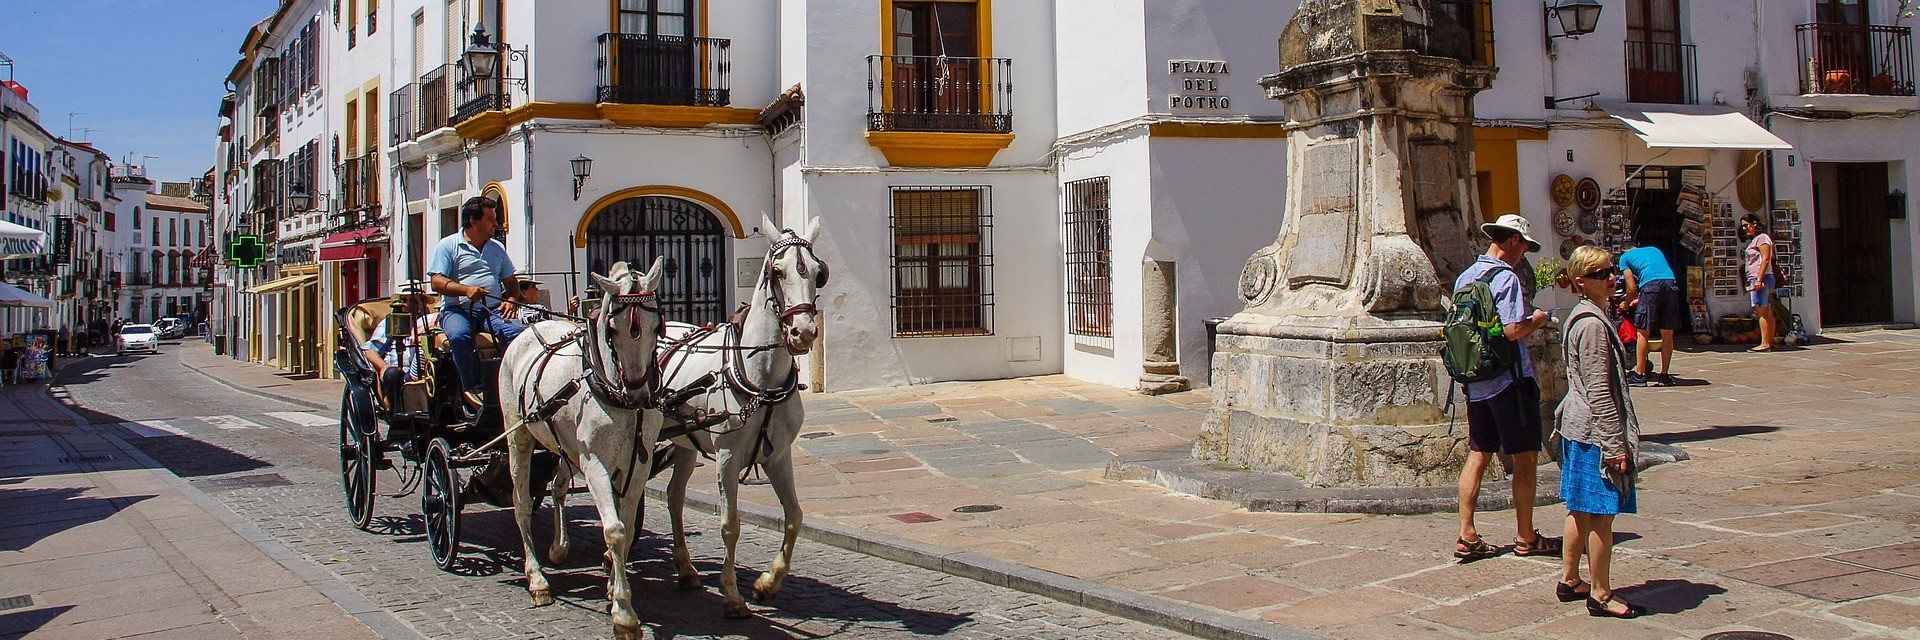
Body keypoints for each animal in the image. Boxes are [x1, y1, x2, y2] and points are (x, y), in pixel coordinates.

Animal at [495, 257, 668, 638]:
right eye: (612, 329)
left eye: (656, 326)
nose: (639, 395)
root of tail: (531, 328)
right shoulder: (595, 463)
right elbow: (615, 530)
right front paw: (624, 613)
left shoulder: (638, 463)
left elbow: (626, 526)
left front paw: (612, 582)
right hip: (519, 436)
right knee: (521, 503)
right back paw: (537, 579)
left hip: (564, 444)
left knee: (558, 486)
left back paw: (559, 548)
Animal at [660, 215, 825, 618]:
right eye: (777, 271)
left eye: (819, 272)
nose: (803, 332)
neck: (761, 379)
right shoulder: (727, 456)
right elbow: (730, 524)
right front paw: (732, 595)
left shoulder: (778, 455)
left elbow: (795, 516)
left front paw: (768, 583)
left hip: (684, 443)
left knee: (674, 496)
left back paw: (685, 569)